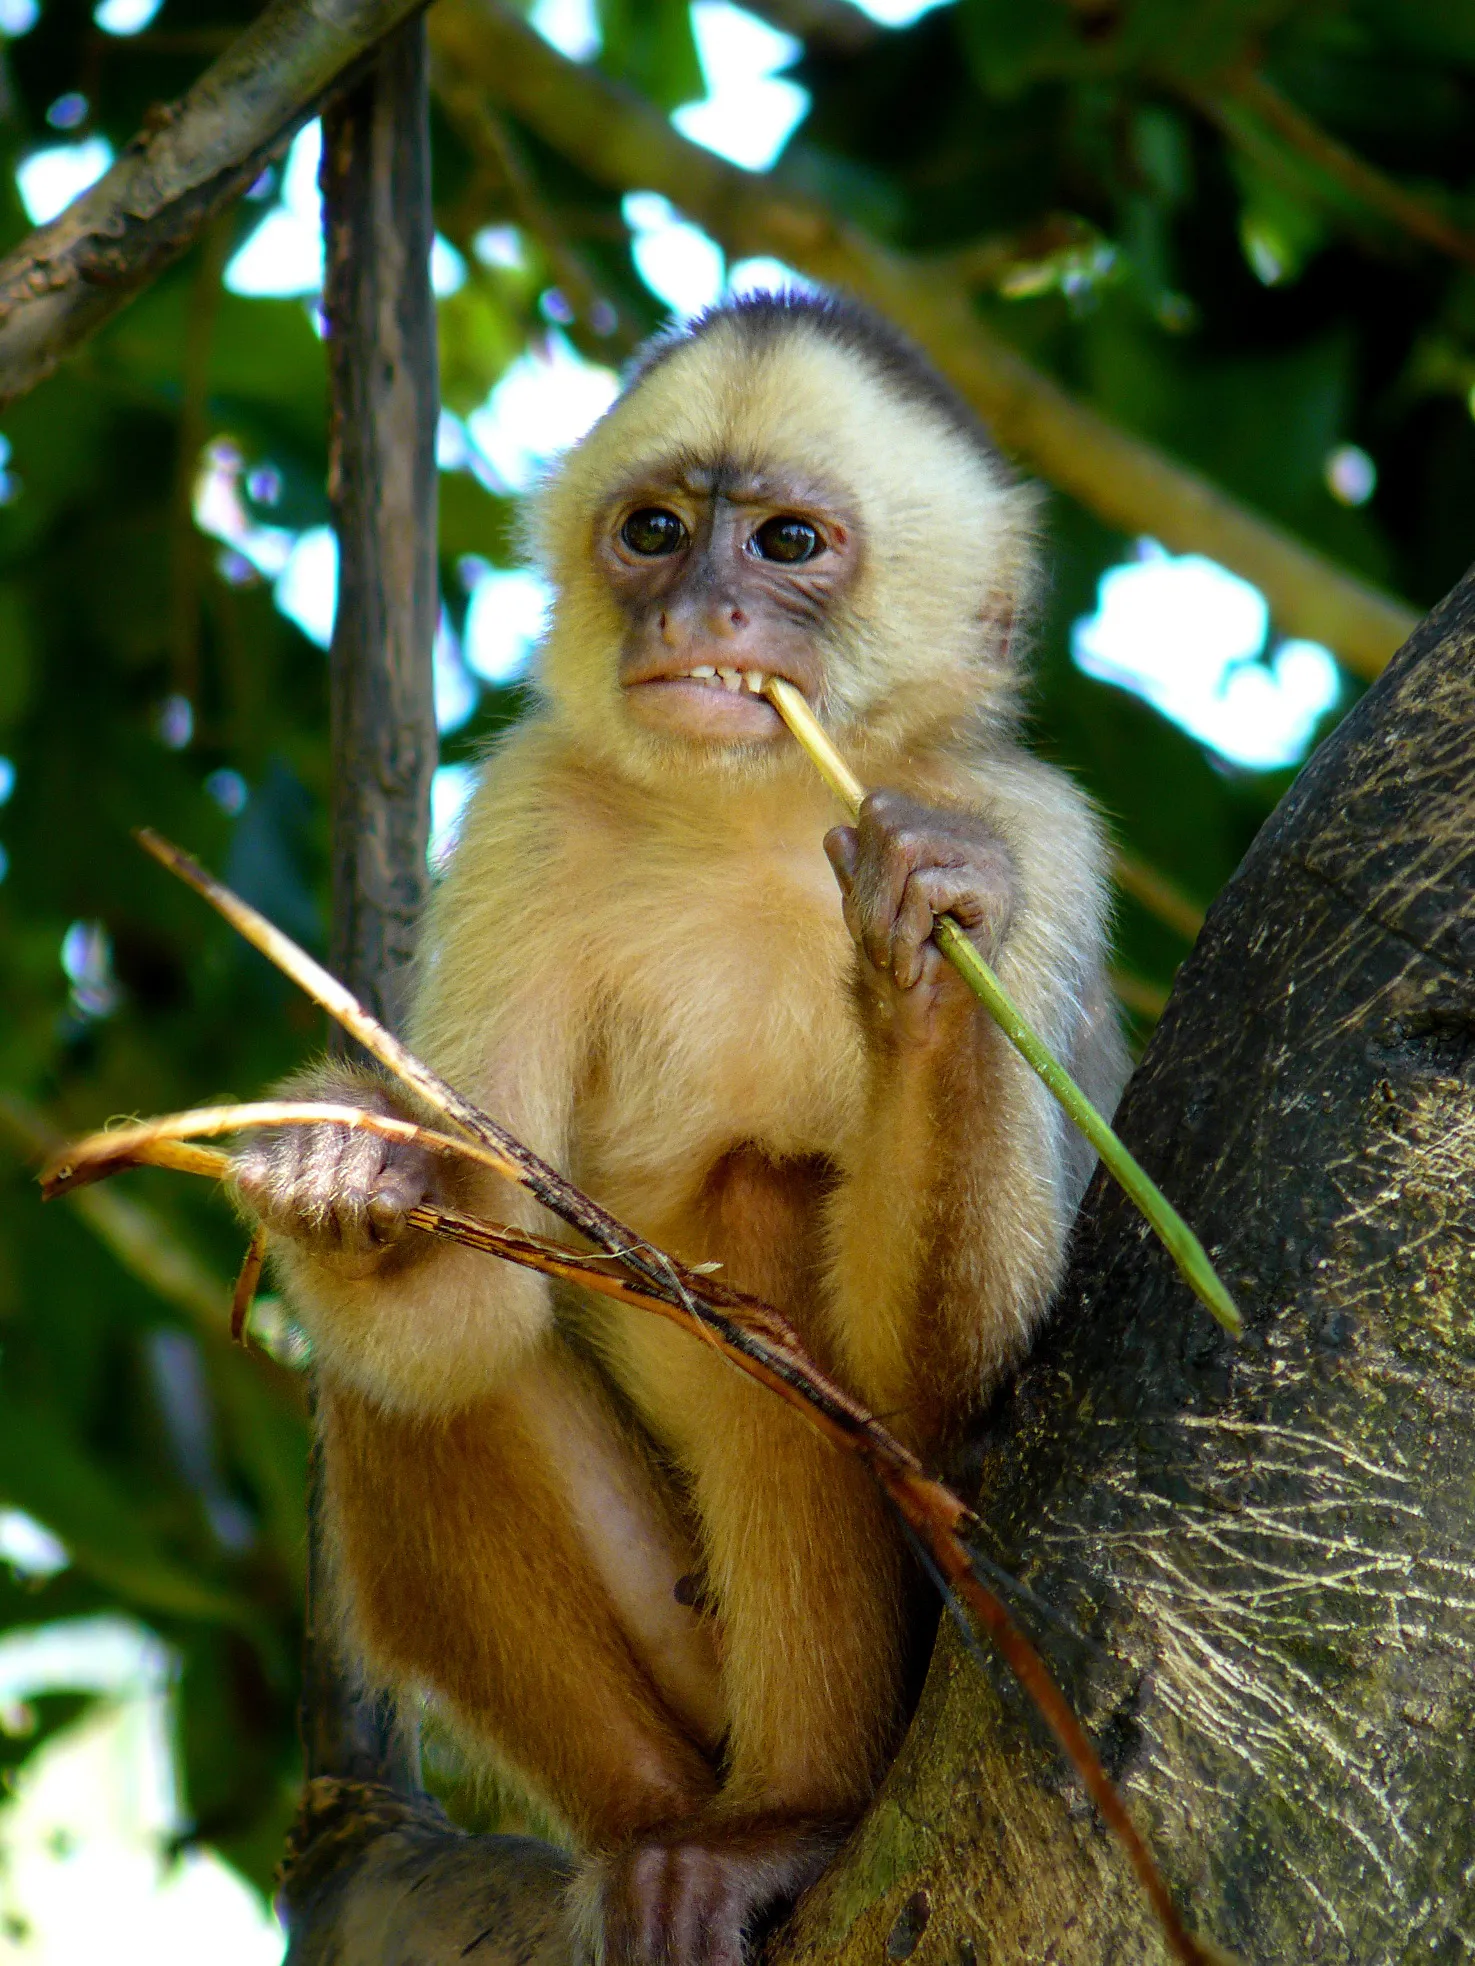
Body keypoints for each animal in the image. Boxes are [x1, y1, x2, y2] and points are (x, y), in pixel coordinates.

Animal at [234, 291, 1126, 1966]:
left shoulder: (1040, 838)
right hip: (678, 1662)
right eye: (651, 531)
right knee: (419, 1378)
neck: (753, 815)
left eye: (784, 543)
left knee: (763, 1220)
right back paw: (658, 1826)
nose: (697, 610)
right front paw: (343, 1176)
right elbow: (467, 1288)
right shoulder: (526, 813)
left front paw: (927, 944)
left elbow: (947, 1401)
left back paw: (794, 1817)